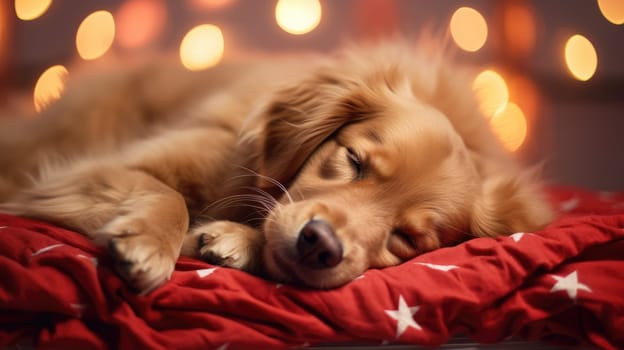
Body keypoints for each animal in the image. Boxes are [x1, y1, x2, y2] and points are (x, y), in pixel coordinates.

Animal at [1, 41, 556, 292]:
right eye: (353, 160)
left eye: (408, 238)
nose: (320, 245)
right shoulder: (82, 170)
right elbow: (169, 195)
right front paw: (150, 245)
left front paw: (232, 241)